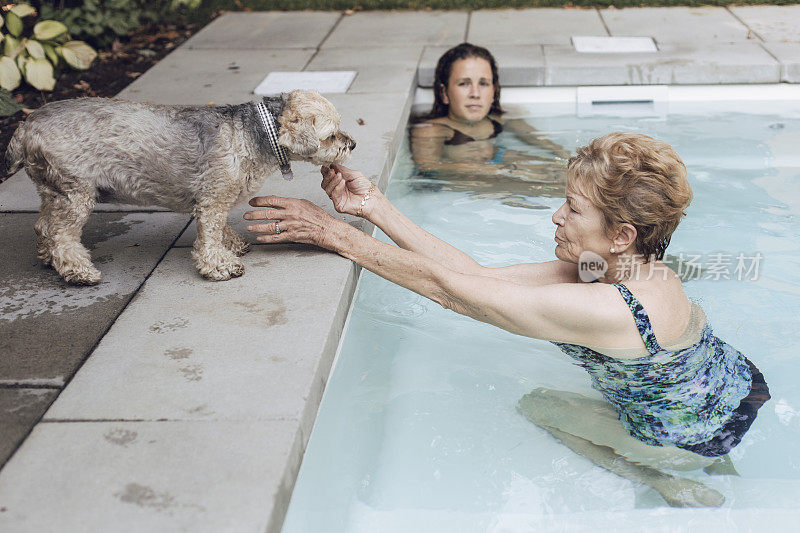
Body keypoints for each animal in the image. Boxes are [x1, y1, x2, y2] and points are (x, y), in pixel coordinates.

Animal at [3, 89, 354, 284]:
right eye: (331, 134)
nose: (352, 144)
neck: (253, 134)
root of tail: (24, 128)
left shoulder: (216, 200)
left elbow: (219, 229)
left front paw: (230, 244)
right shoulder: (213, 200)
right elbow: (209, 236)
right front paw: (218, 264)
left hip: (53, 192)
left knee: (43, 227)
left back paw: (49, 259)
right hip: (75, 194)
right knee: (62, 236)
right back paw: (77, 271)